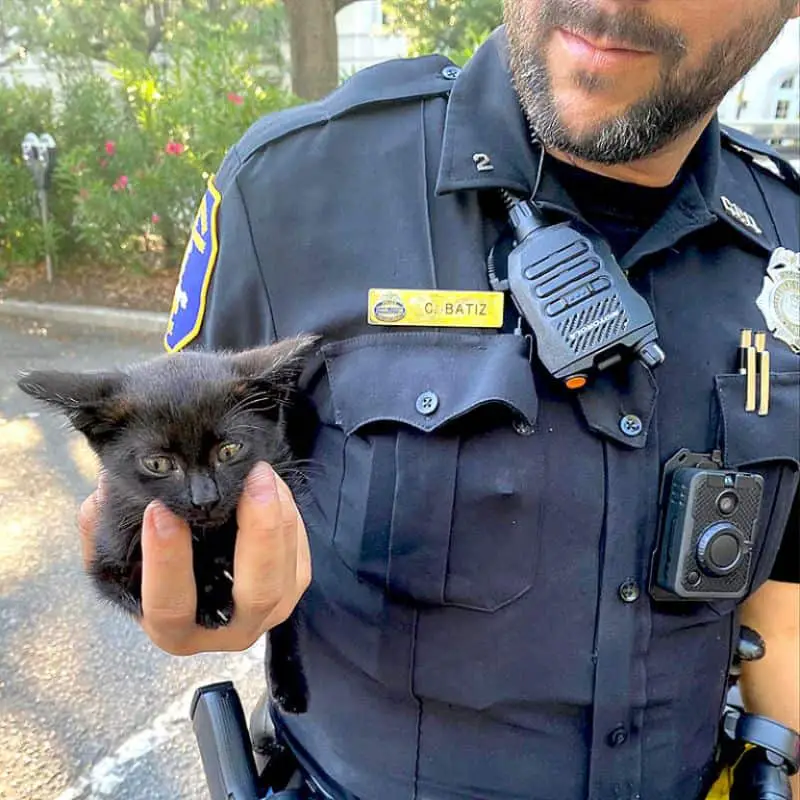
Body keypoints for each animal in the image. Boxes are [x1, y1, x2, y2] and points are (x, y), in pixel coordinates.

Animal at [17, 334, 318, 716]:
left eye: (229, 450)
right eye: (159, 464)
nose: (205, 499)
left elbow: (287, 618)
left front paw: (288, 682)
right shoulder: (108, 552)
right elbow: (137, 575)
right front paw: (210, 593)